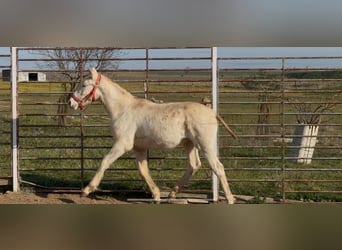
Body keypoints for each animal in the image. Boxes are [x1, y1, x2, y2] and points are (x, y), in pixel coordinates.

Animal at [68, 68, 236, 203]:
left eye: (84, 85)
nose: (71, 103)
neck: (122, 109)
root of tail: (213, 113)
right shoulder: (138, 147)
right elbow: (143, 171)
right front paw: (156, 195)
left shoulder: (122, 144)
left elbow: (104, 162)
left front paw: (87, 190)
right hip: (189, 143)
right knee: (194, 165)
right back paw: (172, 193)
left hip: (205, 144)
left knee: (218, 167)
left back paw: (230, 199)